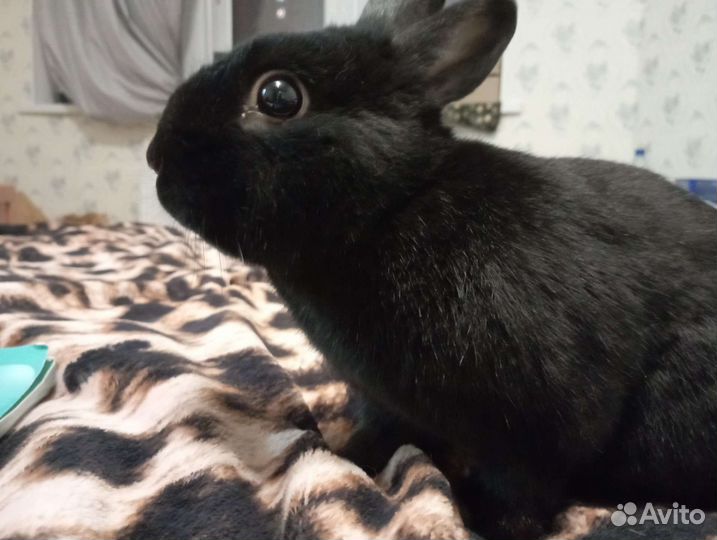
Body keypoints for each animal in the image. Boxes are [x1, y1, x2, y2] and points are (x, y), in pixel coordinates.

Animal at [146, 0, 717, 538]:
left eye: (278, 96)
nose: (155, 156)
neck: (395, 205)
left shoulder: (541, 425)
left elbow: (521, 491)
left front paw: (484, 523)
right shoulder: (383, 402)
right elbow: (379, 433)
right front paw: (343, 452)